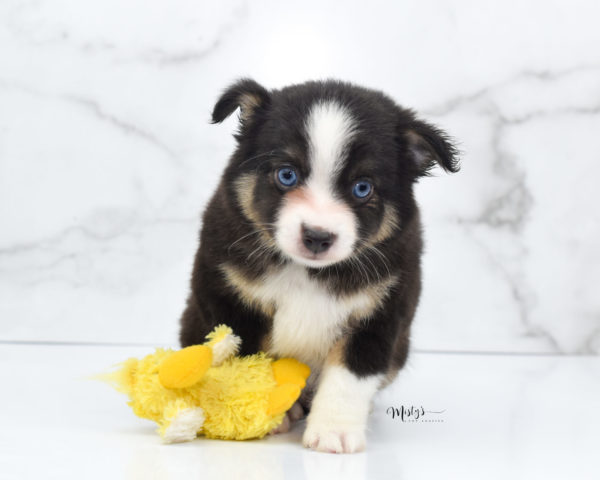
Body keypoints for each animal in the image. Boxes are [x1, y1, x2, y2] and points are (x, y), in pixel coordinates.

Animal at [179, 79, 460, 454]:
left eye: (362, 188)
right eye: (287, 175)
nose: (317, 236)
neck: (307, 272)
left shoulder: (381, 311)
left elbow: (350, 376)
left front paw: (333, 432)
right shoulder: (229, 298)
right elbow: (247, 363)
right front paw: (262, 414)